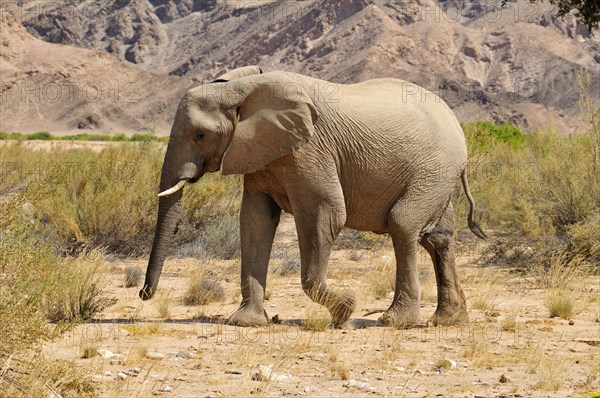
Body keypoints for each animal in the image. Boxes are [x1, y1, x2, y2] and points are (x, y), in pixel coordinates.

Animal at [138, 63, 486, 328]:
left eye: (200, 135)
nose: (144, 294)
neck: (242, 88)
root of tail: (456, 125)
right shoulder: (258, 153)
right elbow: (255, 221)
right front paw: (246, 322)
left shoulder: (310, 149)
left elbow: (325, 213)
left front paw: (345, 310)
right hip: (439, 176)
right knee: (436, 237)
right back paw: (448, 321)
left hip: (434, 169)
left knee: (403, 224)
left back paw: (396, 322)